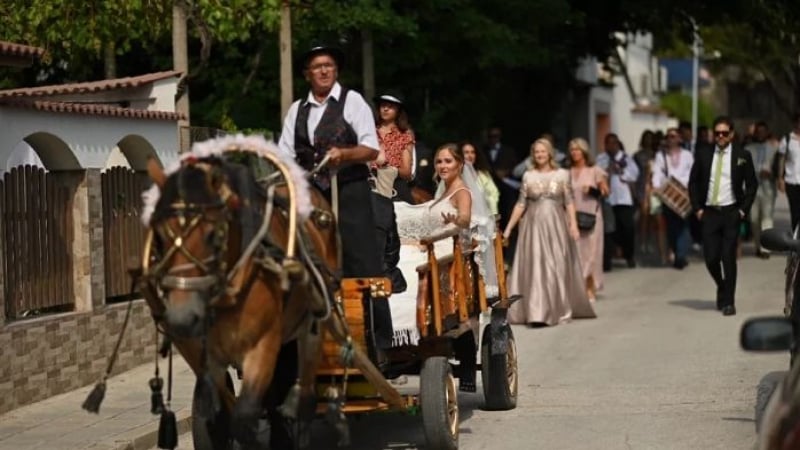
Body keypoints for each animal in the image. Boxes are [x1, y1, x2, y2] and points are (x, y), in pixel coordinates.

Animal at [140, 139, 338, 448]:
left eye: (213, 235)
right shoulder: (204, 356)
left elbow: (243, 418)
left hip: (314, 328)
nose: (182, 318)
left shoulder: (263, 345)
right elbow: (217, 411)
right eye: (159, 236)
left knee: (304, 397)